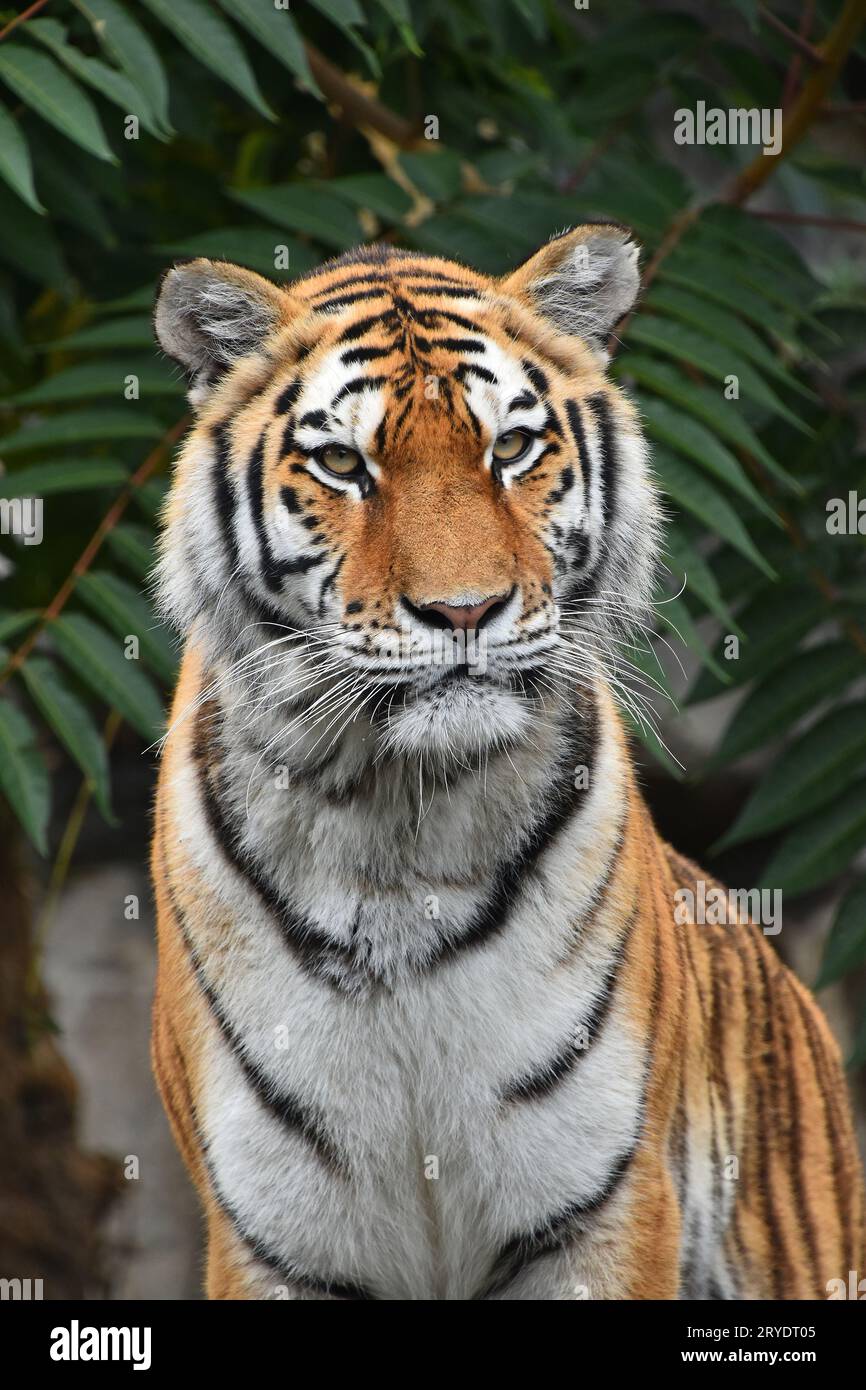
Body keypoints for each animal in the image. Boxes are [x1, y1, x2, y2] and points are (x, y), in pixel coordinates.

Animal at [152, 227, 861, 1301]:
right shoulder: (274, 1238)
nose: (465, 611)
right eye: (342, 463)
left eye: (512, 448)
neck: (395, 826)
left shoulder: (604, 1206)